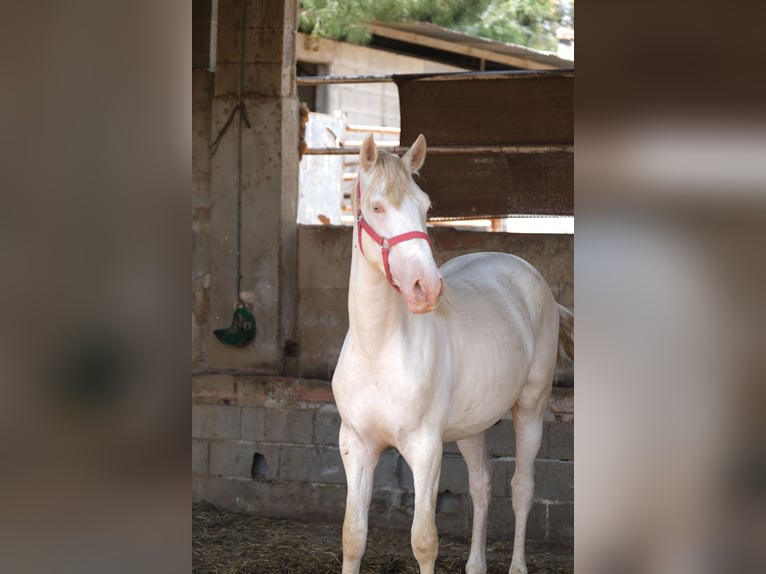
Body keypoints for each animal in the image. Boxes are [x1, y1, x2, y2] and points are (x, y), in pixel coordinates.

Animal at [332, 134, 576, 574]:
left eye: (426, 206)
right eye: (376, 207)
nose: (425, 288)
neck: (379, 349)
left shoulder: (425, 449)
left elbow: (424, 541)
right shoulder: (356, 445)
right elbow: (353, 535)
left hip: (530, 409)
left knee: (522, 487)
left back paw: (517, 566)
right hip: (471, 426)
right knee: (481, 485)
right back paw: (476, 564)